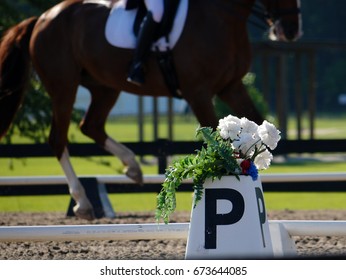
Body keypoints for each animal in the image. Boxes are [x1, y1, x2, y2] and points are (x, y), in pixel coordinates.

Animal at [0, 0, 300, 220]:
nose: (291, 30)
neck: (223, 16)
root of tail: (42, 17)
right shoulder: (199, 93)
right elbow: (217, 140)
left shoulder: (232, 87)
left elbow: (260, 126)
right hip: (64, 86)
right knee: (58, 139)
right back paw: (83, 202)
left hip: (104, 86)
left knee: (91, 126)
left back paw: (132, 167)